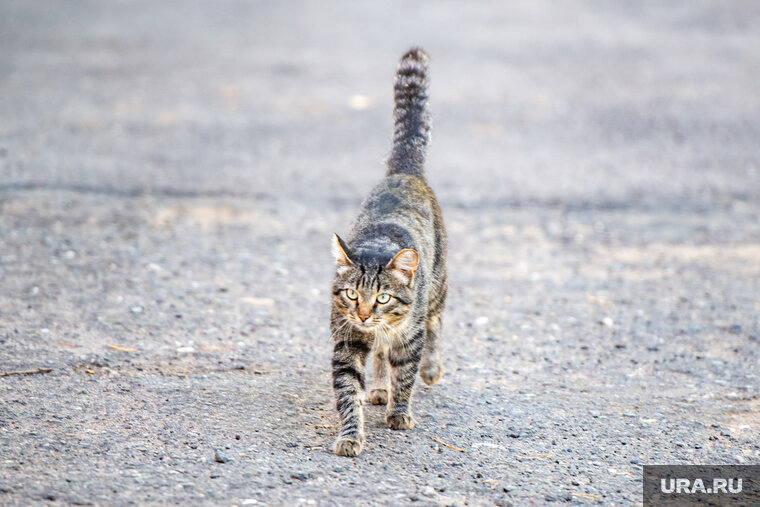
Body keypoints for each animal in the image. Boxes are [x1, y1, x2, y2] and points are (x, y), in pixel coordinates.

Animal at [330, 47, 448, 458]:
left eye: (383, 297)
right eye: (352, 294)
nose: (365, 315)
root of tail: (404, 171)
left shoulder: (408, 338)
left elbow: (406, 375)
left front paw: (400, 412)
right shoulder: (346, 341)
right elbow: (349, 393)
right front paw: (351, 435)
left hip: (437, 287)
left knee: (434, 325)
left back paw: (430, 369)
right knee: (380, 356)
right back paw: (380, 387)